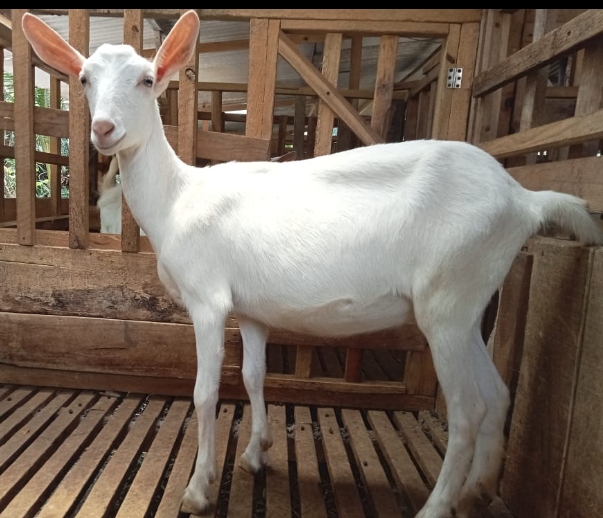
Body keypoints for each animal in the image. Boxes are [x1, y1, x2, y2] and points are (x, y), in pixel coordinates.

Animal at [22, 11, 603, 518]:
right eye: (84, 78)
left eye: (147, 79)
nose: (103, 129)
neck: (177, 196)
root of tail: (524, 199)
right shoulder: (251, 310)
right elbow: (253, 376)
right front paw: (256, 453)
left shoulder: (207, 299)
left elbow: (206, 392)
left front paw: (199, 488)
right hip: (469, 300)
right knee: (498, 393)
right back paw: (478, 490)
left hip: (447, 299)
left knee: (467, 410)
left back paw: (437, 506)